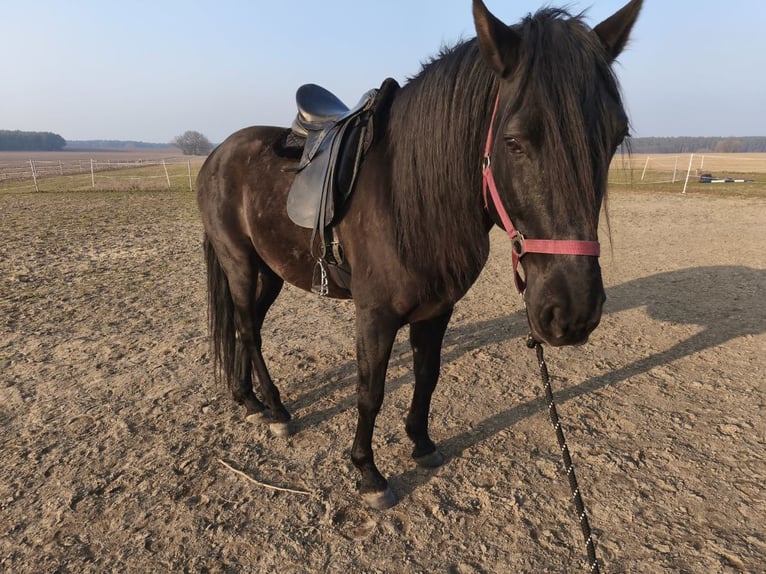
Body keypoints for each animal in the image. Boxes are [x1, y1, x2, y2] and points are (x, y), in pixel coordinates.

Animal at [196, 0, 642, 509]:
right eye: (513, 141)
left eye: (615, 137)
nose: (572, 312)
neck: (406, 195)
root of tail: (217, 154)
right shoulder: (374, 314)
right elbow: (370, 391)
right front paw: (368, 473)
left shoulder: (437, 308)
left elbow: (427, 375)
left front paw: (421, 443)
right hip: (240, 263)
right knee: (249, 330)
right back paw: (274, 408)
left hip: (269, 271)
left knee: (243, 324)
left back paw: (248, 399)